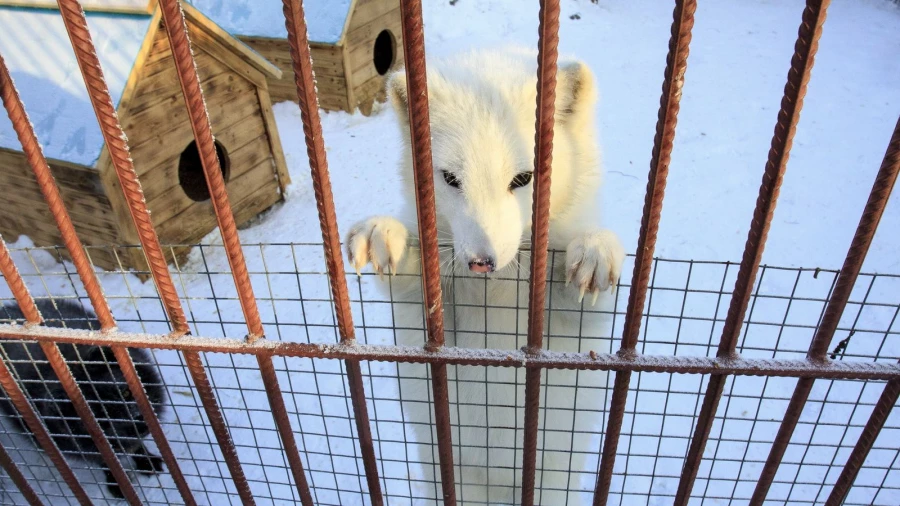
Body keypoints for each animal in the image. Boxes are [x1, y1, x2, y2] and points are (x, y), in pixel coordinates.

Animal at [346, 48, 624, 506]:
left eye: (523, 178)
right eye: (450, 179)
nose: (481, 262)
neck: (499, 291)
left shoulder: (577, 327)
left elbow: (588, 296)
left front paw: (594, 249)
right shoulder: (423, 310)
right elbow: (411, 280)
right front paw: (384, 233)